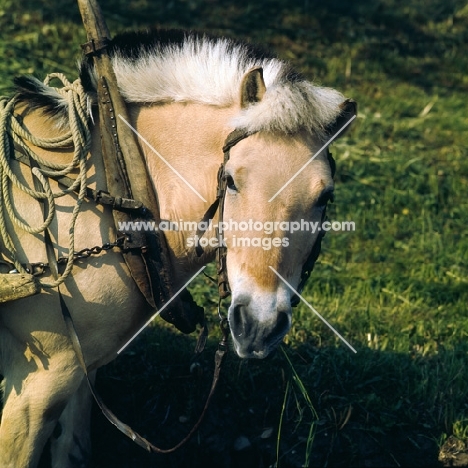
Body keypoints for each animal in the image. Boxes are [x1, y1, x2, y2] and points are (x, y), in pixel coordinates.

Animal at [0, 31, 354, 466]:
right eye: (231, 181)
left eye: (325, 196)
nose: (258, 326)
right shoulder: (39, 385)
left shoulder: (83, 372)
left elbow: (74, 449)